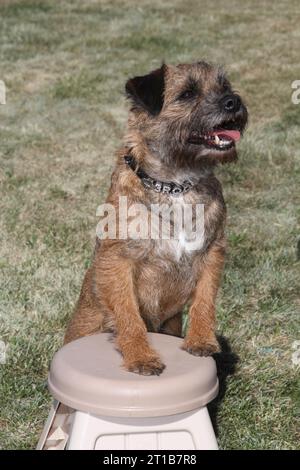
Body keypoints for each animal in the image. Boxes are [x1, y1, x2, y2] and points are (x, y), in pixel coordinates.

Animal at [65, 61, 248, 374]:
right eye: (187, 93)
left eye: (224, 86)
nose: (233, 101)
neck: (175, 184)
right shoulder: (119, 261)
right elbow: (129, 315)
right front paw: (141, 356)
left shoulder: (213, 252)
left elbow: (204, 299)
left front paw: (201, 340)